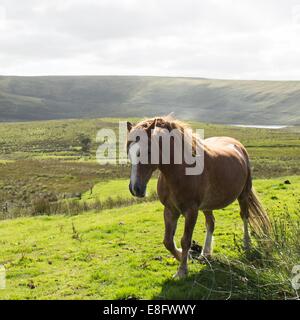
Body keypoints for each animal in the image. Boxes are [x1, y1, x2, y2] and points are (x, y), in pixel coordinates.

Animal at [125, 116, 270, 278]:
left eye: (148, 151)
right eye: (128, 152)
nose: (135, 189)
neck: (178, 171)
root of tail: (237, 145)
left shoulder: (191, 211)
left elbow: (185, 240)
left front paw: (182, 270)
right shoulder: (170, 210)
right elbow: (168, 241)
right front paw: (183, 256)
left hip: (243, 195)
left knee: (244, 216)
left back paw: (246, 244)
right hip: (207, 206)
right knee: (211, 223)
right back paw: (205, 253)